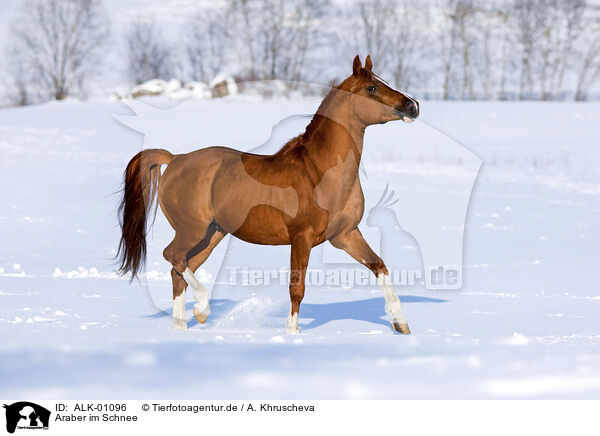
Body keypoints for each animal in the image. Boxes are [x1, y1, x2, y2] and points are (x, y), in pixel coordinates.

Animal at [116, 54, 418, 334]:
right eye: (371, 88)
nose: (412, 106)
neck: (319, 172)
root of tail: (176, 159)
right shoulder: (302, 237)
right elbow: (297, 287)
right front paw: (292, 333)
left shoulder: (345, 235)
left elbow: (380, 266)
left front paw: (401, 324)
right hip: (192, 230)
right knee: (173, 257)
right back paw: (202, 310)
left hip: (212, 234)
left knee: (179, 270)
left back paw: (182, 327)